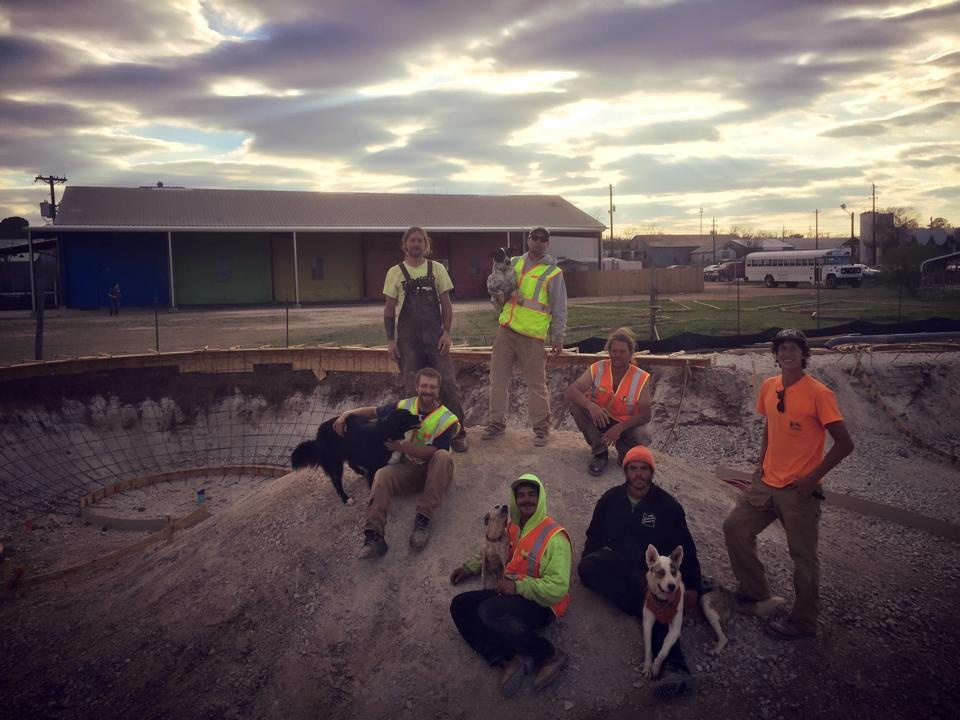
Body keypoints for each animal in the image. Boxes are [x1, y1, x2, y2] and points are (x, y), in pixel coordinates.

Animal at [288, 408, 416, 504]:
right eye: (406, 417)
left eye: (410, 413)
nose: (420, 415)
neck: (386, 432)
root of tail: (318, 434)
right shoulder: (374, 468)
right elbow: (373, 485)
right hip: (335, 463)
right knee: (336, 481)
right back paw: (346, 499)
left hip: (351, 451)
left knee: (351, 463)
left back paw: (361, 472)